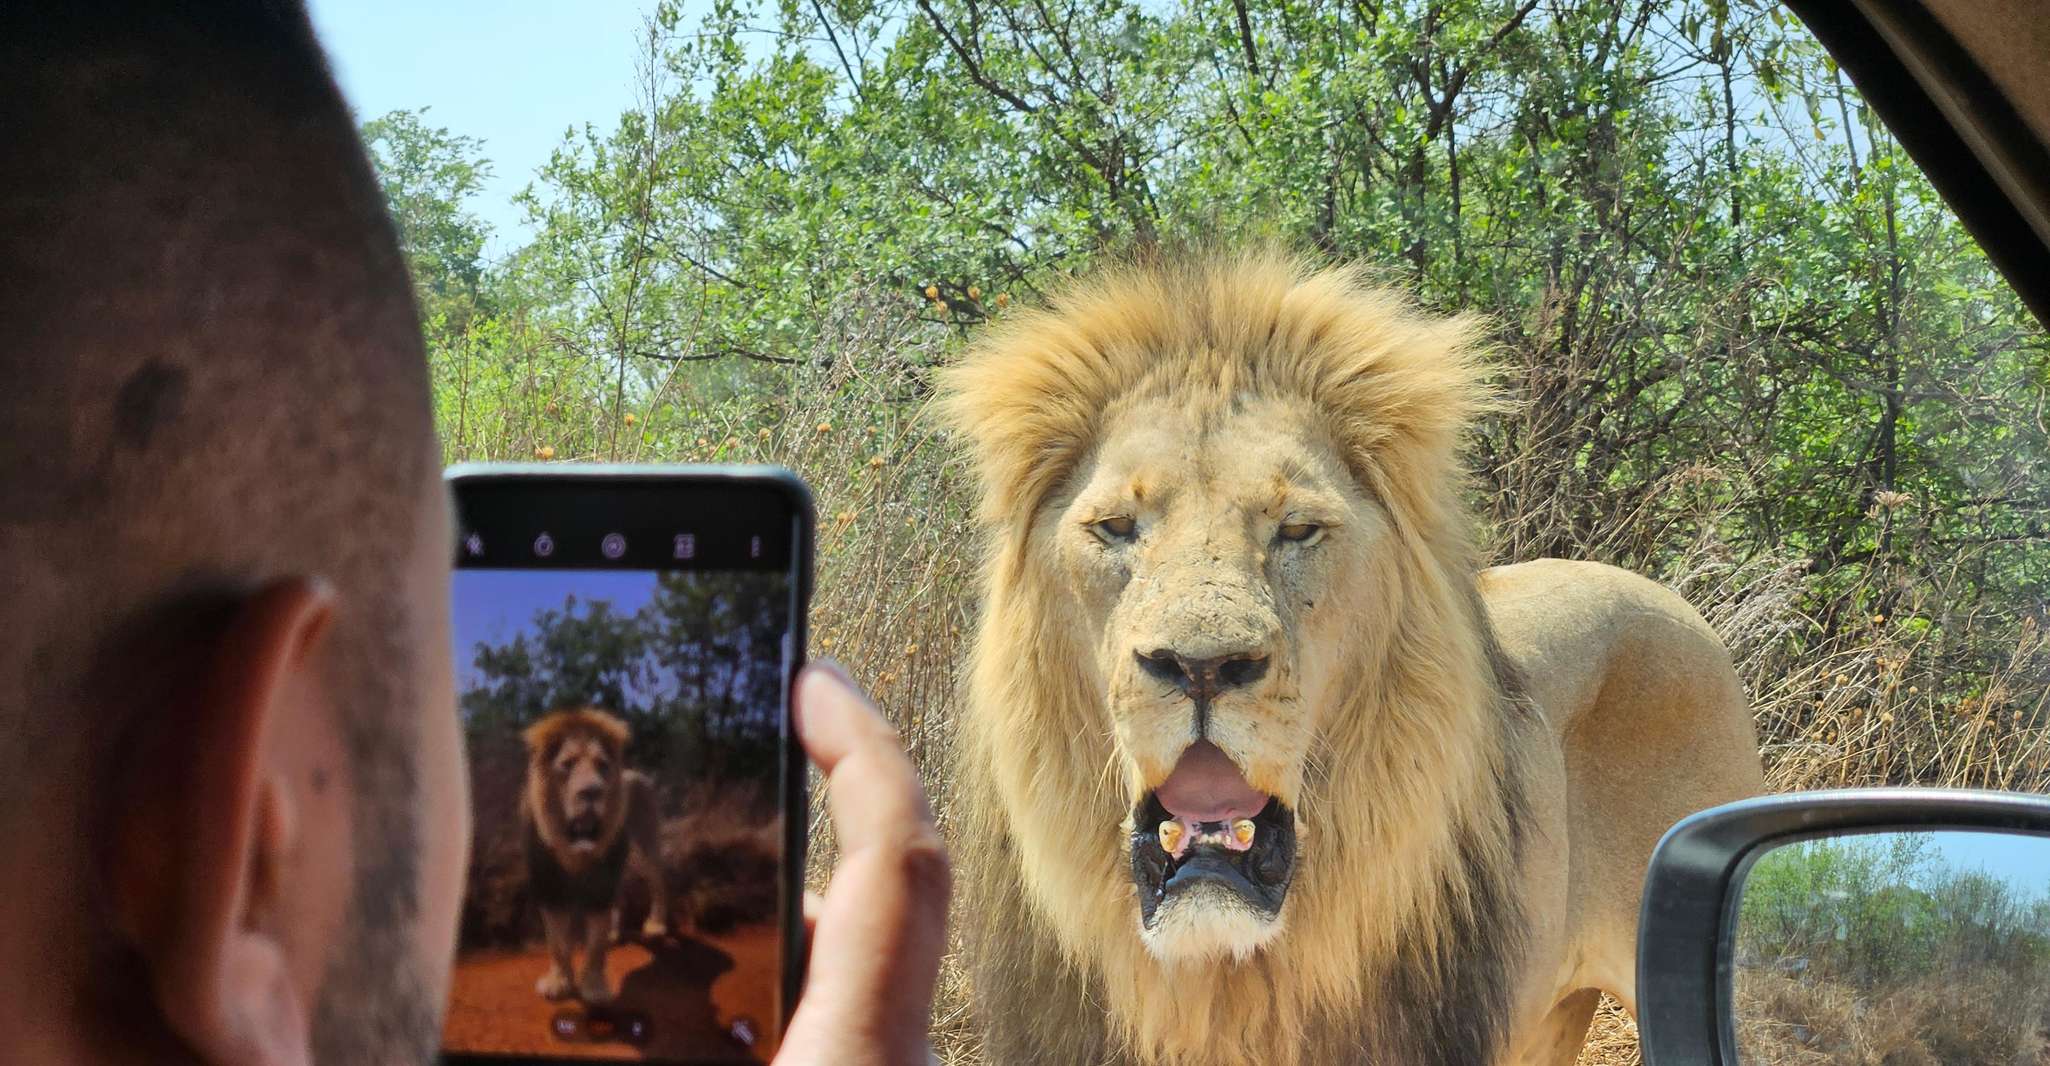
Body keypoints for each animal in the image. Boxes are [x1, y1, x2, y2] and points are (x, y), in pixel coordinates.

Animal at [520, 706, 669, 1005]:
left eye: (602, 765)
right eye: (567, 764)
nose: (592, 791)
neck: (574, 850)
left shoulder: (601, 885)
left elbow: (596, 944)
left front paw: (594, 987)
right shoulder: (550, 889)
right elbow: (557, 943)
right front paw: (559, 982)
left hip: (646, 848)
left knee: (658, 883)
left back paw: (656, 924)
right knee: (620, 895)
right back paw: (615, 931)